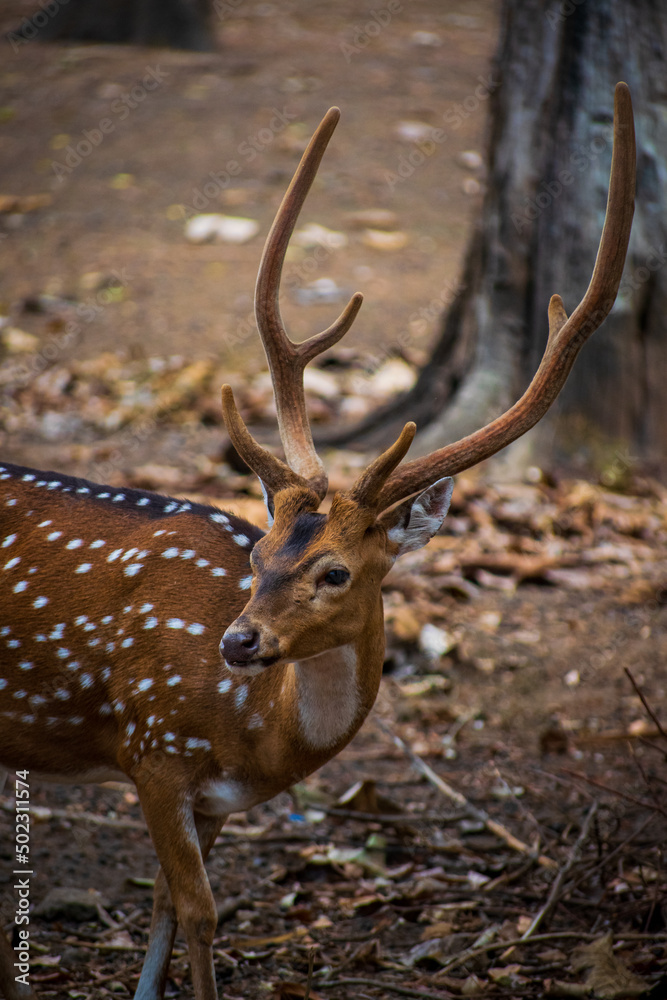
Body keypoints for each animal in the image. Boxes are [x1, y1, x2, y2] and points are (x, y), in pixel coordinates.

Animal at [0, 82, 635, 1000]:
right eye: (257, 557)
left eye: (334, 571)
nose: (237, 641)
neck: (256, 738)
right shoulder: (152, 746)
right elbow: (199, 914)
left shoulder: (204, 794)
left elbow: (163, 910)